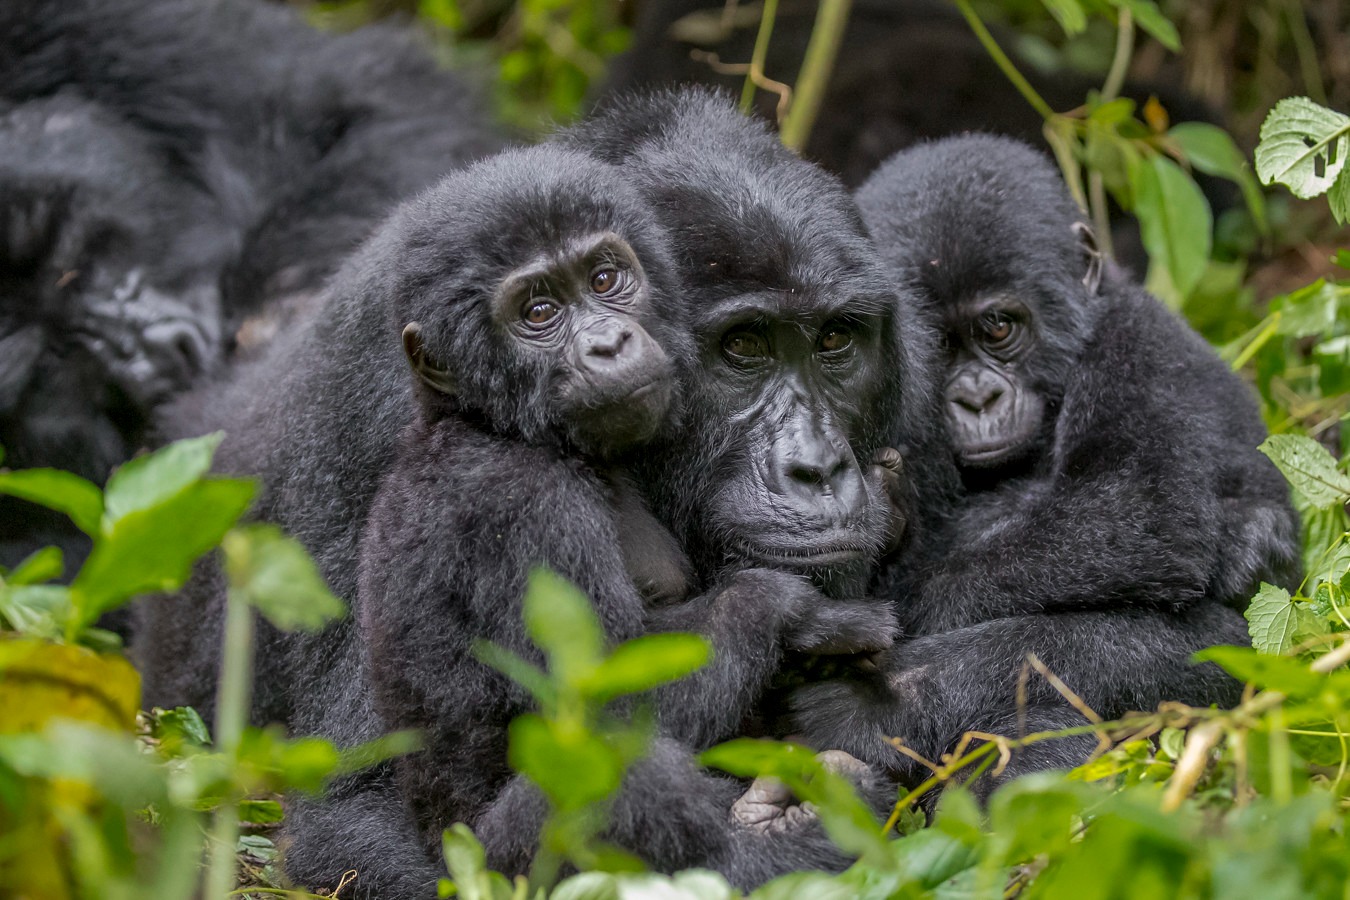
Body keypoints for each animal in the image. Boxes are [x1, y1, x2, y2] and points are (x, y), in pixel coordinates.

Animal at [788, 133, 1301, 793]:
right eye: (938, 345)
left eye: (999, 328)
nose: (978, 398)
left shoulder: (1134, 341)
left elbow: (1140, 508)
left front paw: (917, 616)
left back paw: (883, 708)